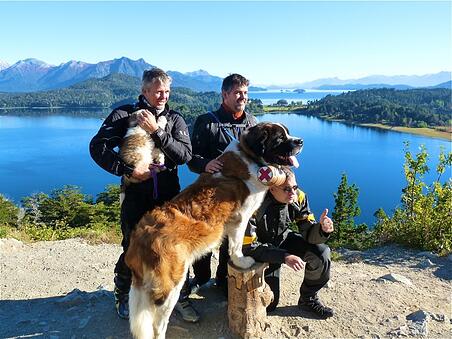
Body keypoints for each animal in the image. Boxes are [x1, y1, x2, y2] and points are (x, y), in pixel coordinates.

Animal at [124, 122, 300, 339]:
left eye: (287, 133)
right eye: (279, 138)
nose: (300, 141)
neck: (250, 156)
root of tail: (141, 236)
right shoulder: (240, 218)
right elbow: (236, 245)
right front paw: (242, 261)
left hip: (141, 286)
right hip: (171, 284)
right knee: (158, 324)